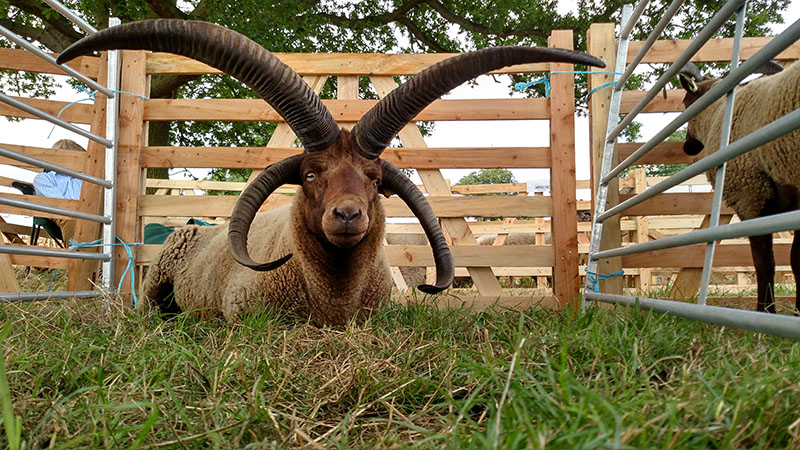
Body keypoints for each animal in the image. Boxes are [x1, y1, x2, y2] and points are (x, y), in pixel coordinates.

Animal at [680, 59, 800, 312]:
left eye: (685, 101)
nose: (687, 147)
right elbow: (794, 259)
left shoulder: (750, 197)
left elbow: (765, 263)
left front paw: (766, 311)